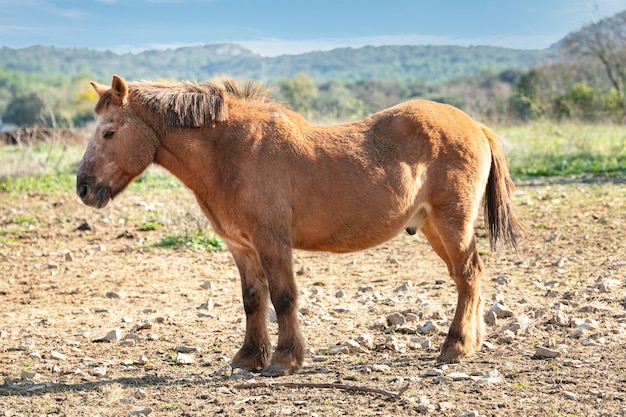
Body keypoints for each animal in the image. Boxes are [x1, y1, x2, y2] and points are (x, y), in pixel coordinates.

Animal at [75, 75, 520, 376]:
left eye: (109, 132)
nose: (83, 188)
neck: (231, 152)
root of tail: (476, 126)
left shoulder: (272, 242)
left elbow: (284, 297)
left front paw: (284, 360)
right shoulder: (242, 247)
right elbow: (253, 300)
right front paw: (248, 358)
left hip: (451, 223)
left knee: (468, 275)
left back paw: (455, 347)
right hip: (432, 227)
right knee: (468, 277)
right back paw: (470, 342)